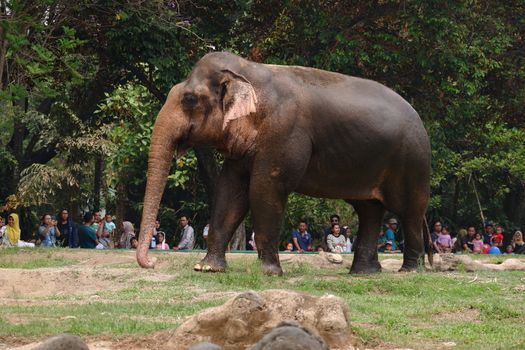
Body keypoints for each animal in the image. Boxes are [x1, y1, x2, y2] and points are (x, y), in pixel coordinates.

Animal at [136, 51, 430, 276]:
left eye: (189, 99)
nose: (152, 262)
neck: (249, 72)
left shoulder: (284, 131)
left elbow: (265, 187)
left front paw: (269, 273)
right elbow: (230, 191)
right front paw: (207, 268)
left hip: (412, 160)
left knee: (408, 210)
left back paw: (409, 270)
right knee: (369, 210)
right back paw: (364, 273)